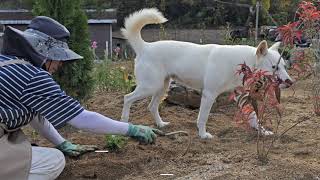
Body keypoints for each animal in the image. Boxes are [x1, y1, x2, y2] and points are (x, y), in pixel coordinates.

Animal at [120, 8, 292, 139]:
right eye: (275, 67)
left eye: (284, 66)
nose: (290, 82)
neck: (242, 63)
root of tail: (145, 47)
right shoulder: (209, 95)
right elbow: (202, 118)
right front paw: (203, 135)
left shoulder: (241, 96)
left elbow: (254, 117)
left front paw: (263, 132)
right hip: (150, 87)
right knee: (127, 98)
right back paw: (124, 122)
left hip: (161, 87)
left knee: (151, 106)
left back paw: (161, 124)